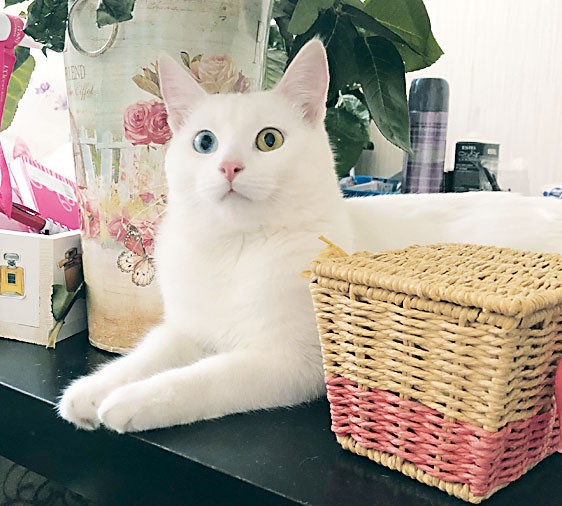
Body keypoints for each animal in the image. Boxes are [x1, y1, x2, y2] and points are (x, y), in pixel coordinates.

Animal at [58, 39, 562, 433]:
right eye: (204, 142)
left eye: (269, 140)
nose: (229, 167)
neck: (234, 250)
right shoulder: (187, 329)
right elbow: (144, 355)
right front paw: (90, 391)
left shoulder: (289, 362)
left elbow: (201, 378)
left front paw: (130, 401)